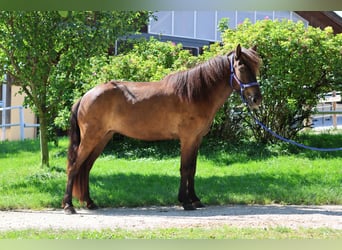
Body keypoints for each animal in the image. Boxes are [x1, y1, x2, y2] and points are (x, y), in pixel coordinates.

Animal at [62, 44, 262, 214]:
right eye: (242, 68)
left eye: (256, 68)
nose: (256, 100)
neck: (196, 93)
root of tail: (85, 96)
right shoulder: (187, 139)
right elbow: (185, 168)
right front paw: (186, 202)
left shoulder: (197, 139)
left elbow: (193, 169)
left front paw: (195, 199)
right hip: (91, 138)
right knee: (74, 166)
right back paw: (68, 206)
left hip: (103, 138)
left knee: (86, 167)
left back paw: (90, 202)